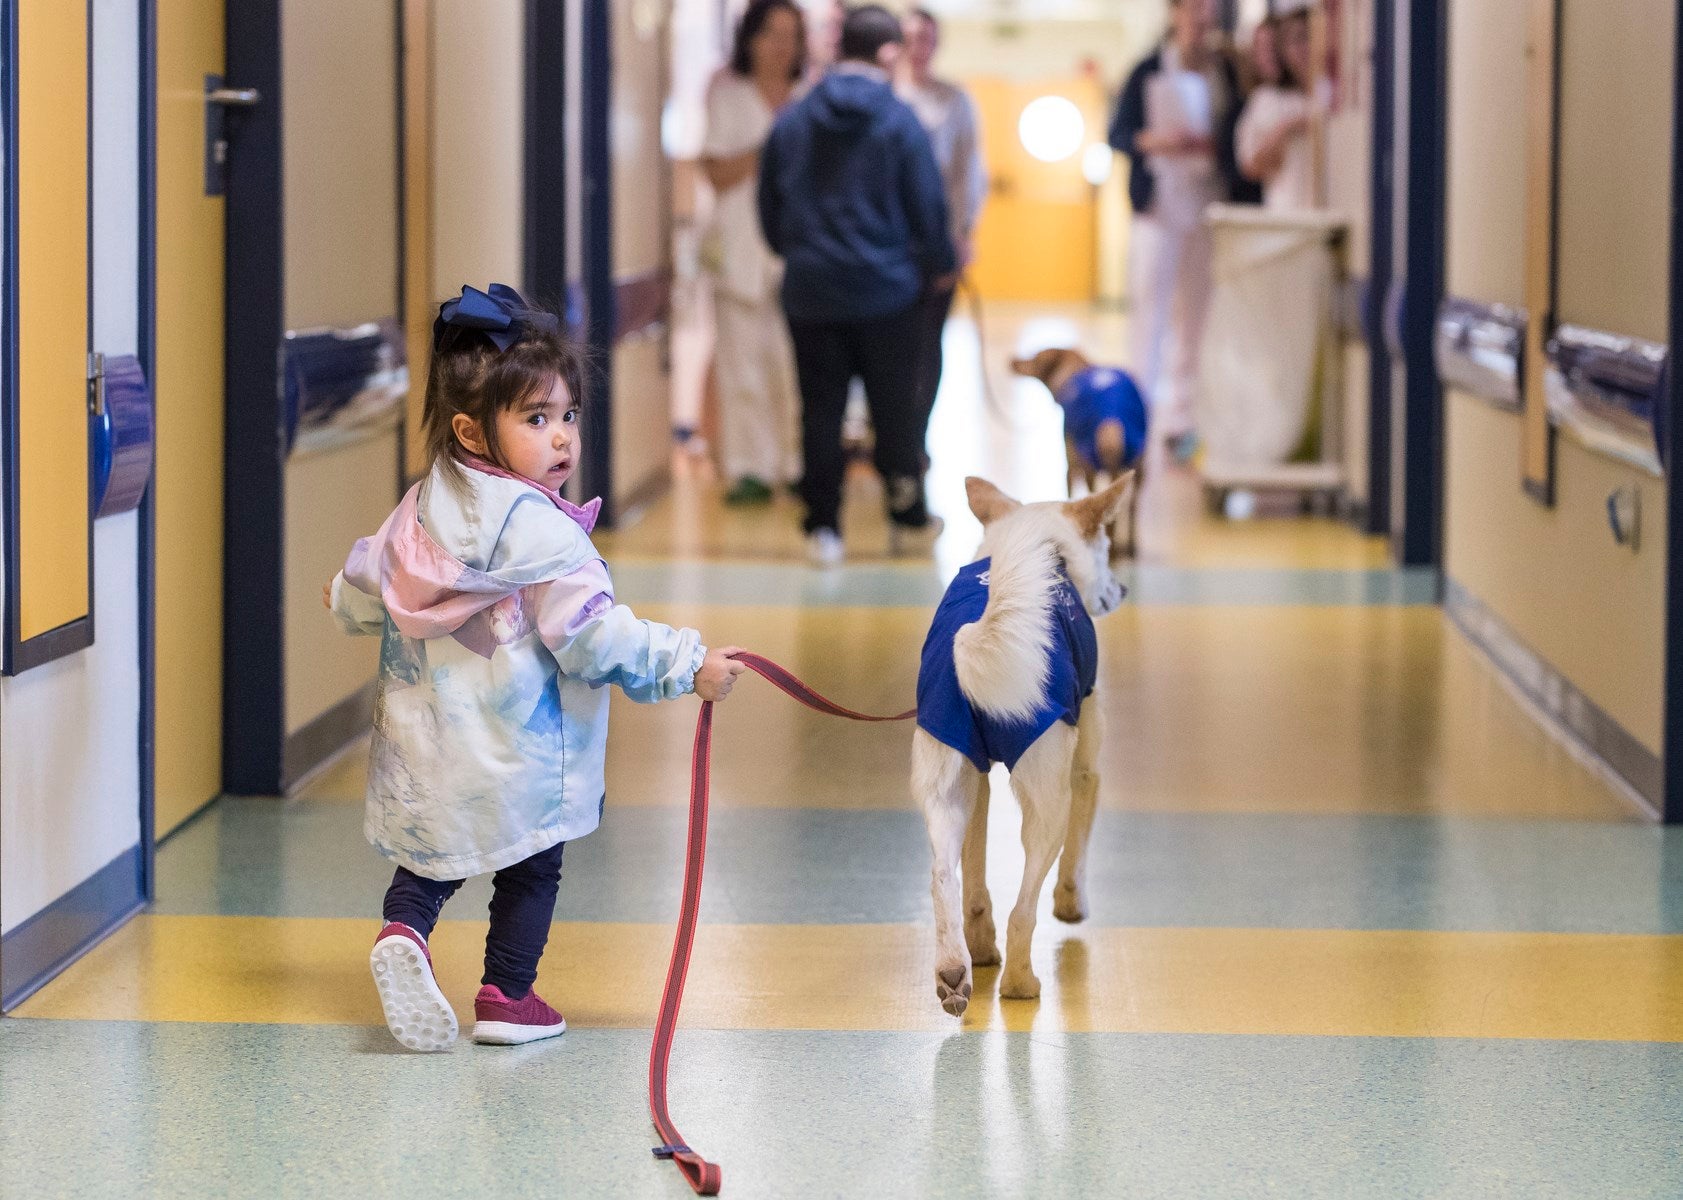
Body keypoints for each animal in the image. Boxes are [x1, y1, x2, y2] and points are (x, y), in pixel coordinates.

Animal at [908, 471, 1130, 1009]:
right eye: (1107, 548)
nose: (1123, 588)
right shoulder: (1086, 771)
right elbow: (1077, 854)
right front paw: (1072, 904)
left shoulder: (977, 782)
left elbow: (974, 875)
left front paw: (980, 946)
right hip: (1050, 799)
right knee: (1023, 908)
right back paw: (1020, 983)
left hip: (947, 781)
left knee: (945, 876)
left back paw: (957, 968)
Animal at [1009, 341, 1144, 555]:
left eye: (1035, 358)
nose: (1011, 360)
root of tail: (1112, 421)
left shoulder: (1071, 467)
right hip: (1138, 468)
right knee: (1132, 508)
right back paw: (1129, 547)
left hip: (1090, 466)